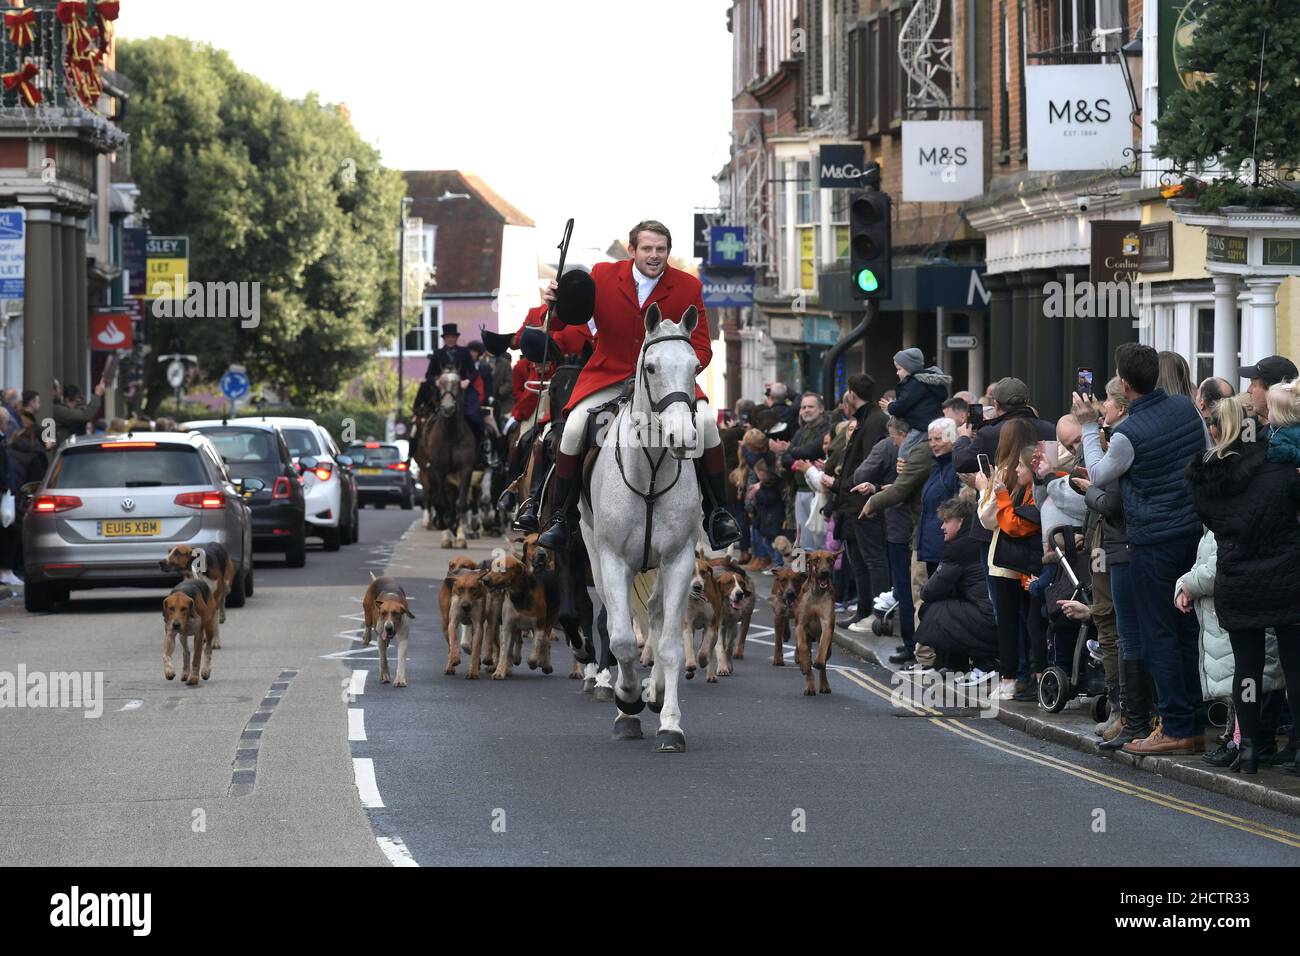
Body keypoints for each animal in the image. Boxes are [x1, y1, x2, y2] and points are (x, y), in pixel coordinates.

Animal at [416, 369, 478, 546]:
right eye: (441, 385)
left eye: (457, 384)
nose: (448, 408)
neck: (451, 435)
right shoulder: (438, 471)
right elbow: (441, 502)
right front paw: (446, 534)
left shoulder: (466, 470)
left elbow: (461, 503)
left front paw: (461, 536)